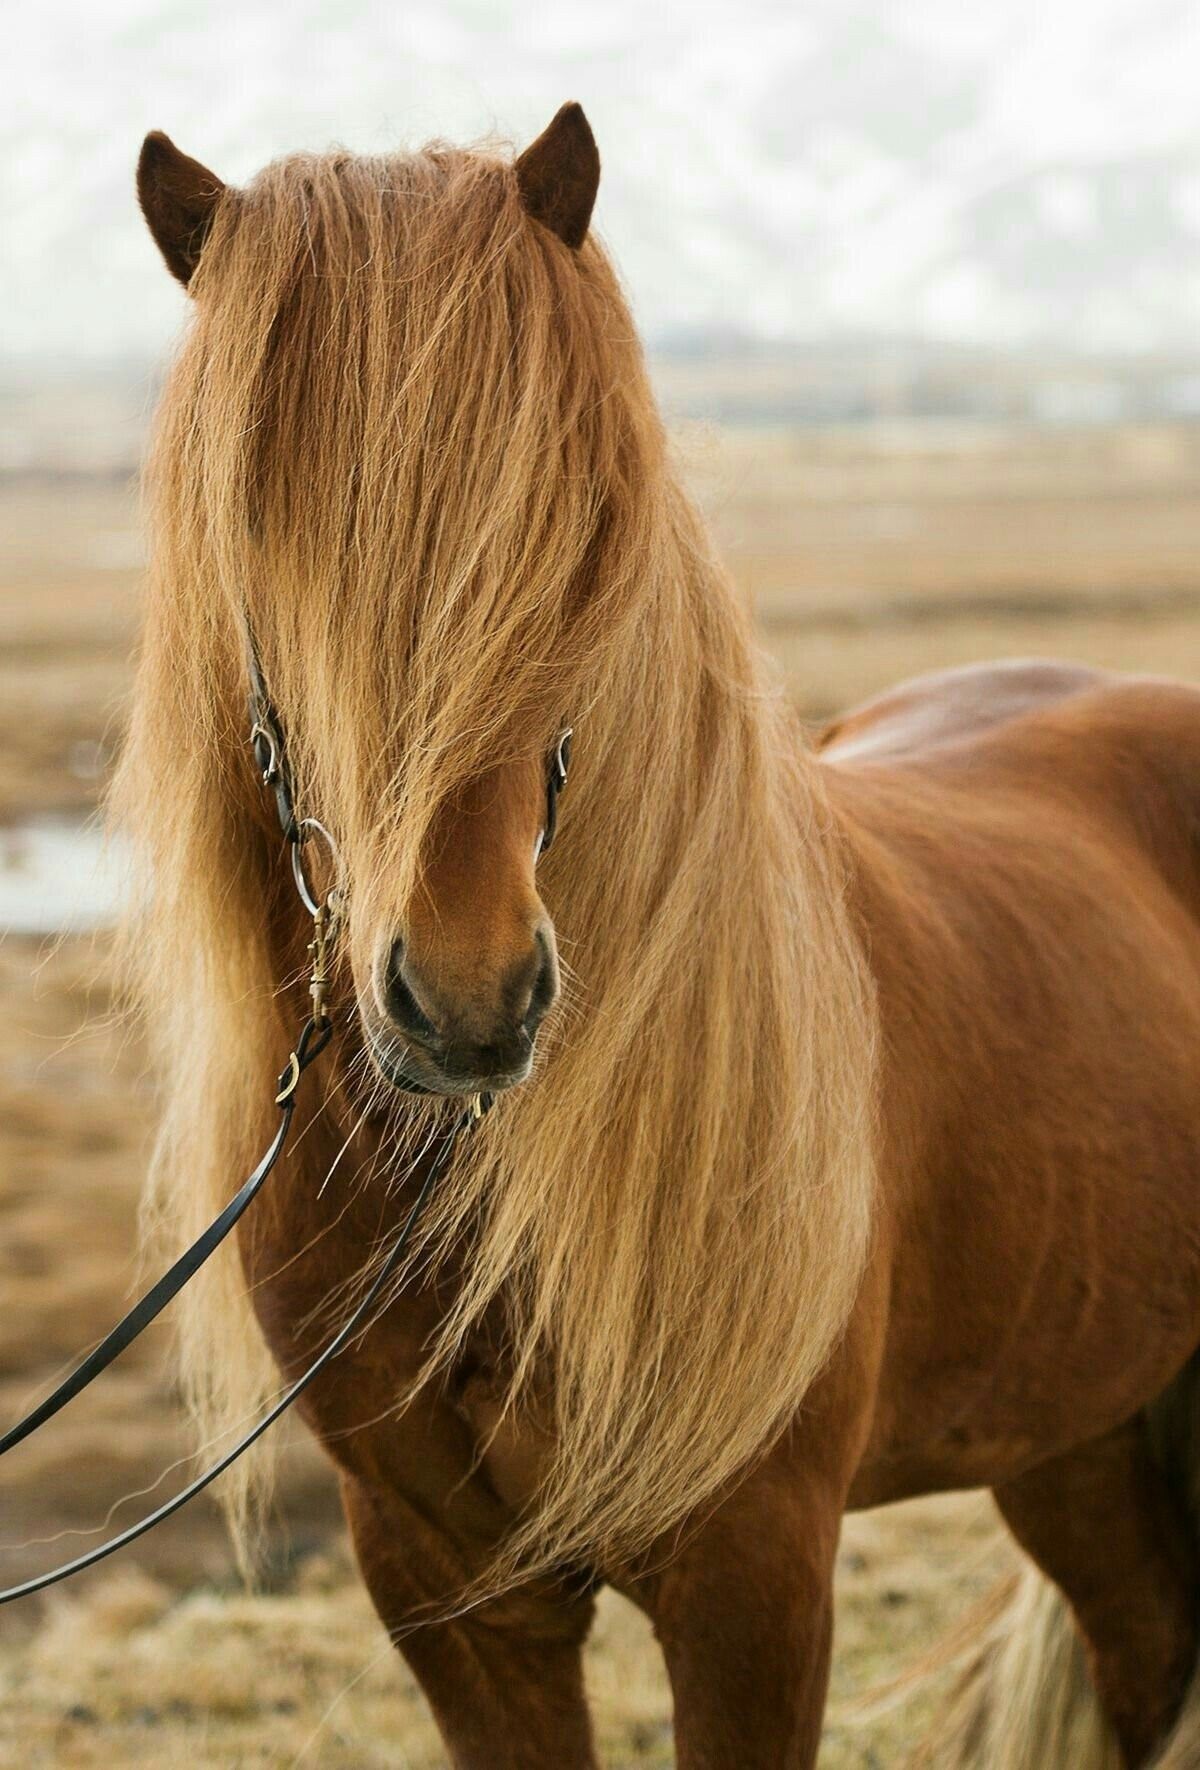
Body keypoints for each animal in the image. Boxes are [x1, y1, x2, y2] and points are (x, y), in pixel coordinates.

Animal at [115, 103, 1200, 1762]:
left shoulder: (753, 1574)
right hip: (1075, 1422)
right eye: (254, 543)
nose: (469, 1001)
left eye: (575, 526)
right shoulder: (450, 1593)